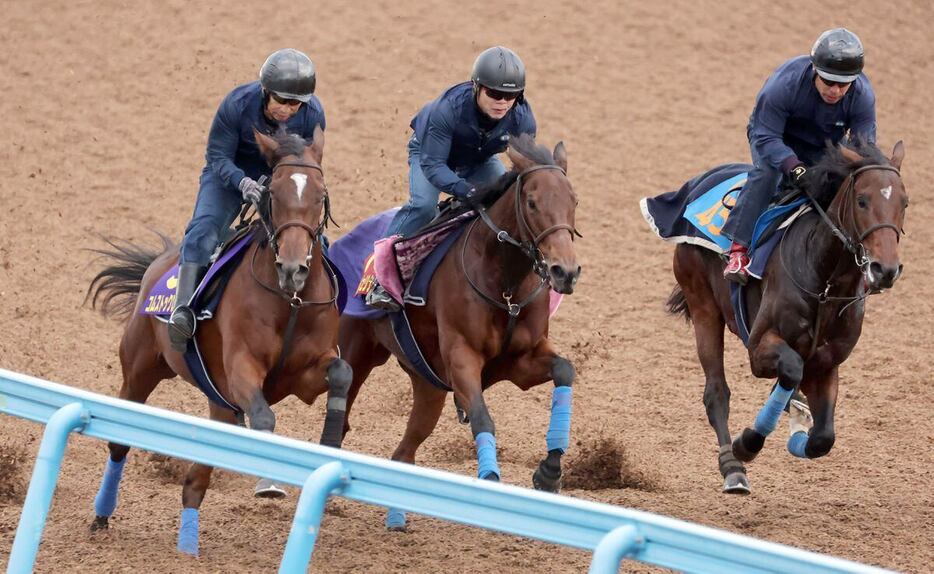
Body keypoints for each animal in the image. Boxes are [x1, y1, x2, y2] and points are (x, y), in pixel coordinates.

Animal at [84, 126, 352, 552]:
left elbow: (342, 372)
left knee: (196, 480)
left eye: (319, 194)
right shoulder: (243, 367)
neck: (289, 301)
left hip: (219, 401)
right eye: (273, 194)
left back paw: (188, 546)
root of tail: (159, 262)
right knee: (119, 442)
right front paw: (268, 480)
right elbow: (264, 416)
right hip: (140, 371)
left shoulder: (306, 373)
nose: (293, 269)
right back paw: (102, 515)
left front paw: (329, 445)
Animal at [338, 134, 584, 532]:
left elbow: (565, 369)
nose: (566, 271)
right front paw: (489, 479)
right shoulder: (462, 357)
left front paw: (549, 472)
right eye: (532, 202)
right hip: (356, 352)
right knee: (341, 417)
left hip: (429, 387)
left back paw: (396, 517)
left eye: (573, 200)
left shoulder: (521, 361)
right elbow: (482, 417)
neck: (505, 283)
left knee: (404, 451)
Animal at [668, 142, 912, 498]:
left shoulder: (825, 363)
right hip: (703, 307)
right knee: (716, 392)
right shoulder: (759, 347)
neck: (826, 282)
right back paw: (733, 468)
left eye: (903, 203)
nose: (885, 270)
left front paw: (799, 430)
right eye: (862, 200)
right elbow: (791, 368)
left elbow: (823, 438)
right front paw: (747, 443)